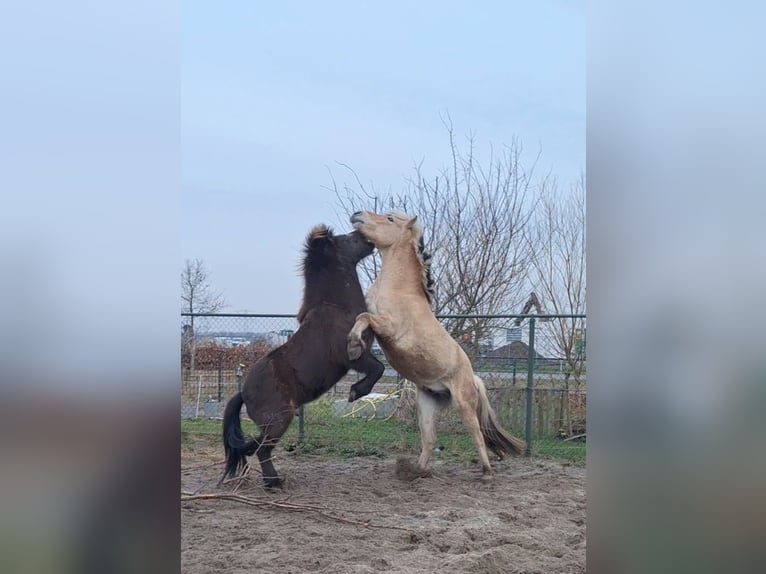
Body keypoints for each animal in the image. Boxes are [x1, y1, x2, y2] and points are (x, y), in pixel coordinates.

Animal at [221, 225, 385, 488]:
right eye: (346, 239)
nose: (366, 235)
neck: (337, 309)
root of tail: (243, 393)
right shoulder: (352, 356)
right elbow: (377, 369)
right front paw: (355, 392)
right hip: (279, 420)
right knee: (261, 450)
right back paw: (274, 483)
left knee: (255, 448)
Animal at [346, 210, 526, 478]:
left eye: (390, 219)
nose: (358, 215)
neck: (398, 289)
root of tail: (473, 377)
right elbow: (361, 317)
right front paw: (355, 347)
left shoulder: (390, 327)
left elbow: (363, 317)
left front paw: (353, 345)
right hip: (427, 404)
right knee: (429, 439)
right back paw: (417, 472)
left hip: (464, 404)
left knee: (477, 434)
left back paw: (486, 472)